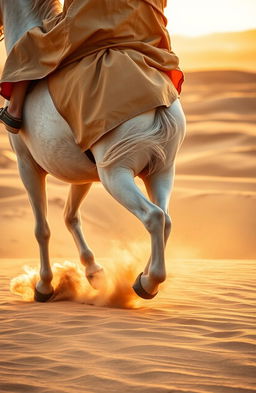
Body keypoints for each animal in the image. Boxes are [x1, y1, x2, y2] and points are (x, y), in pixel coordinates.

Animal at [0, 0, 186, 300]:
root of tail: (157, 100)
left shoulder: (26, 164)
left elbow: (42, 229)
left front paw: (44, 286)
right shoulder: (82, 172)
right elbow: (70, 217)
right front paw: (93, 272)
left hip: (115, 175)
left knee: (154, 217)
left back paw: (148, 283)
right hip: (161, 171)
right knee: (166, 219)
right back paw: (143, 276)